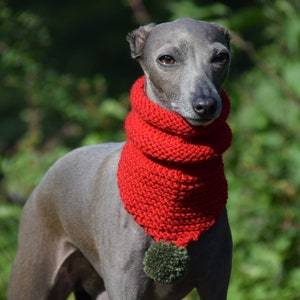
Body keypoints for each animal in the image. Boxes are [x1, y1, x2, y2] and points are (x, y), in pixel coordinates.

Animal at [7, 17, 232, 298]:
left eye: (221, 57)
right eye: (167, 59)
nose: (206, 105)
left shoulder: (215, 280)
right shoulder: (125, 284)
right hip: (35, 274)